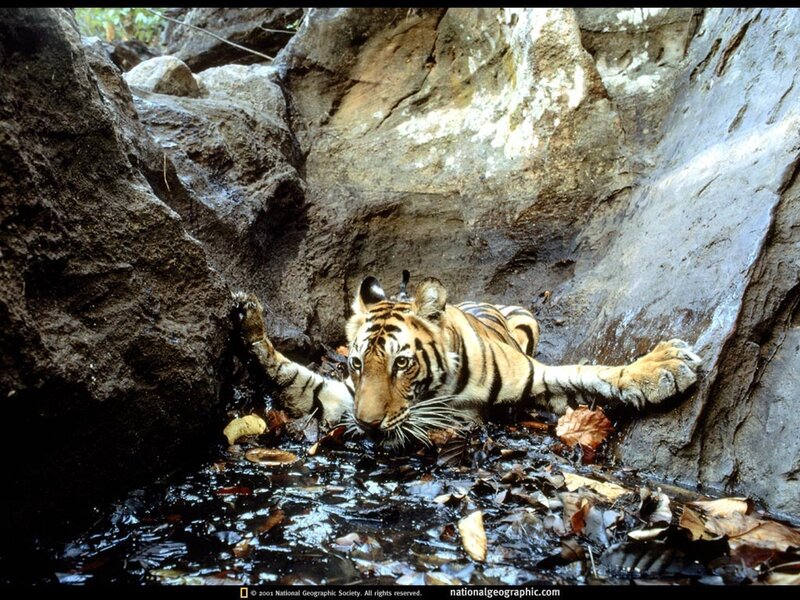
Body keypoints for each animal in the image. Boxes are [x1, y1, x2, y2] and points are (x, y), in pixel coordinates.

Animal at [233, 274, 702, 448]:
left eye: (401, 364)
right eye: (357, 364)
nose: (366, 425)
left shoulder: (537, 377)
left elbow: (590, 372)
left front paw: (667, 365)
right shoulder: (341, 399)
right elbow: (295, 376)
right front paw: (249, 324)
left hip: (528, 324)